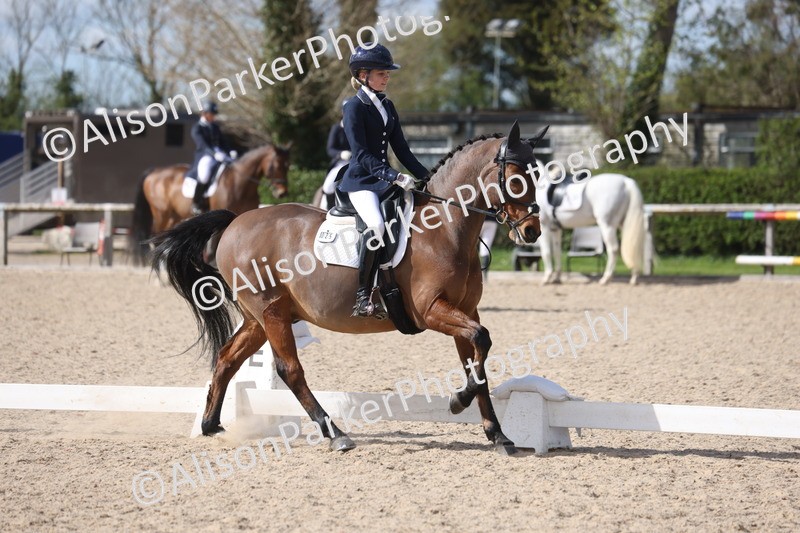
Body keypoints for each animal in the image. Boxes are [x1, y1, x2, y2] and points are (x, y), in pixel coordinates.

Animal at [130, 143, 291, 264]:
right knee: (155, 238)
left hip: (174, 216)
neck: (239, 183)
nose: (282, 193)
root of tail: (154, 171)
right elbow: (214, 249)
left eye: (287, 166)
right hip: (162, 213)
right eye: (276, 166)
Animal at [150, 121, 544, 455]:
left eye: (536, 175)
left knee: (227, 358)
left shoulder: (465, 310)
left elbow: (477, 362)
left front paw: (499, 435)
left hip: (259, 317)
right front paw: (457, 402)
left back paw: (211, 424)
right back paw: (335, 434)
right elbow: (481, 341)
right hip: (270, 311)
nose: (531, 232)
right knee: (289, 369)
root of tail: (236, 221)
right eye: (515, 179)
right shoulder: (431, 310)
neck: (444, 228)